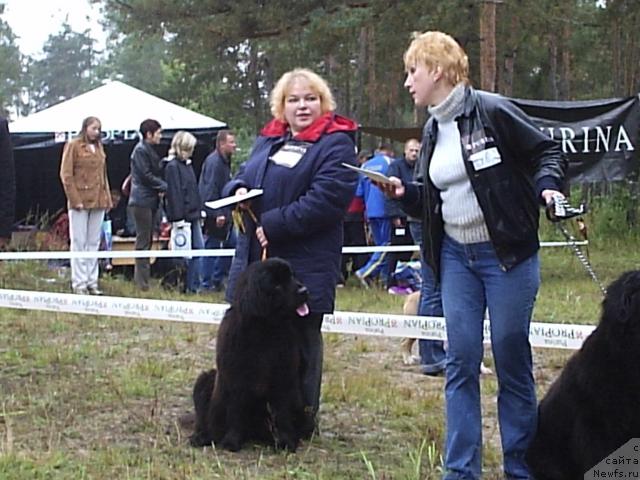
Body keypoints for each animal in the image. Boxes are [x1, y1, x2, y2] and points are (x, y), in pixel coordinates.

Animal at [189, 258, 314, 450]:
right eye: (277, 285)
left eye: (292, 276)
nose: (304, 290)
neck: (263, 330)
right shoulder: (236, 378)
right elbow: (236, 410)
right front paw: (232, 441)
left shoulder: (284, 378)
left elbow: (282, 412)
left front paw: (285, 441)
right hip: (205, 380)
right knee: (205, 419)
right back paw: (202, 436)